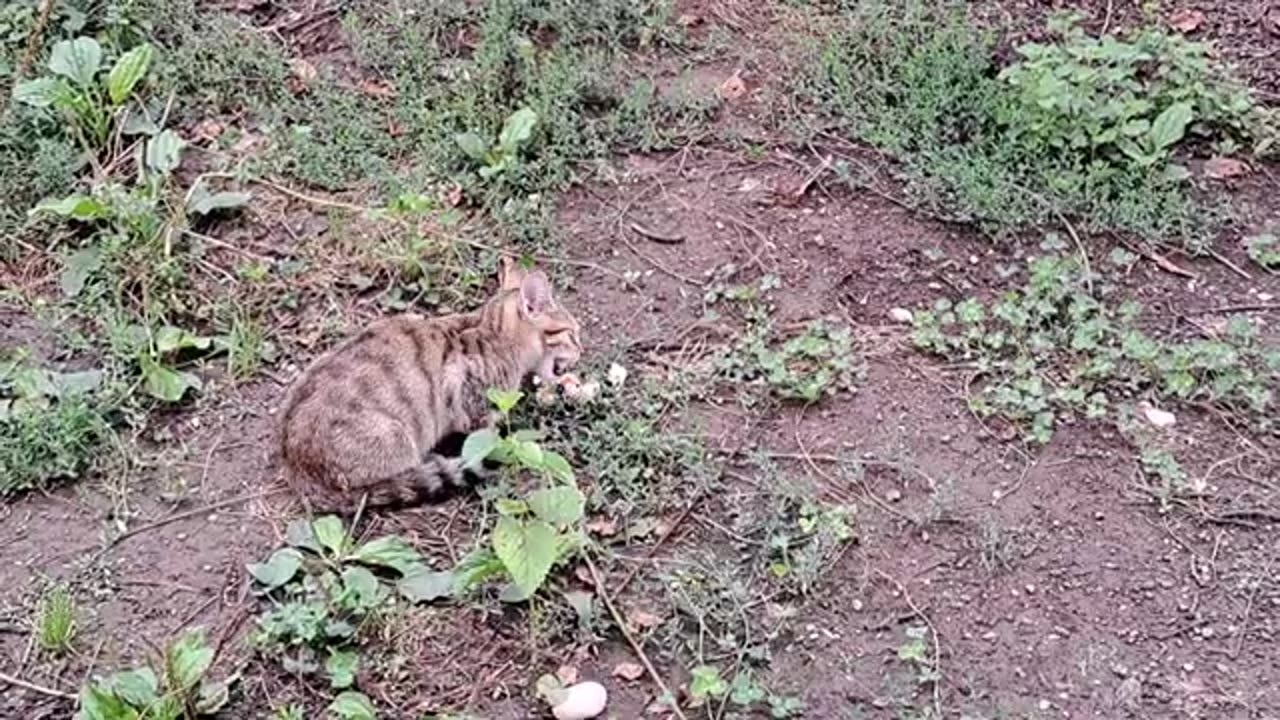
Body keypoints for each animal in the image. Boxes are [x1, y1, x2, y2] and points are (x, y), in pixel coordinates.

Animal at [281, 260, 586, 507]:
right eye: (572, 333)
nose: (581, 349)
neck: (493, 332)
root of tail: (296, 469)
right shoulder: (473, 402)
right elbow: (489, 439)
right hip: (397, 438)